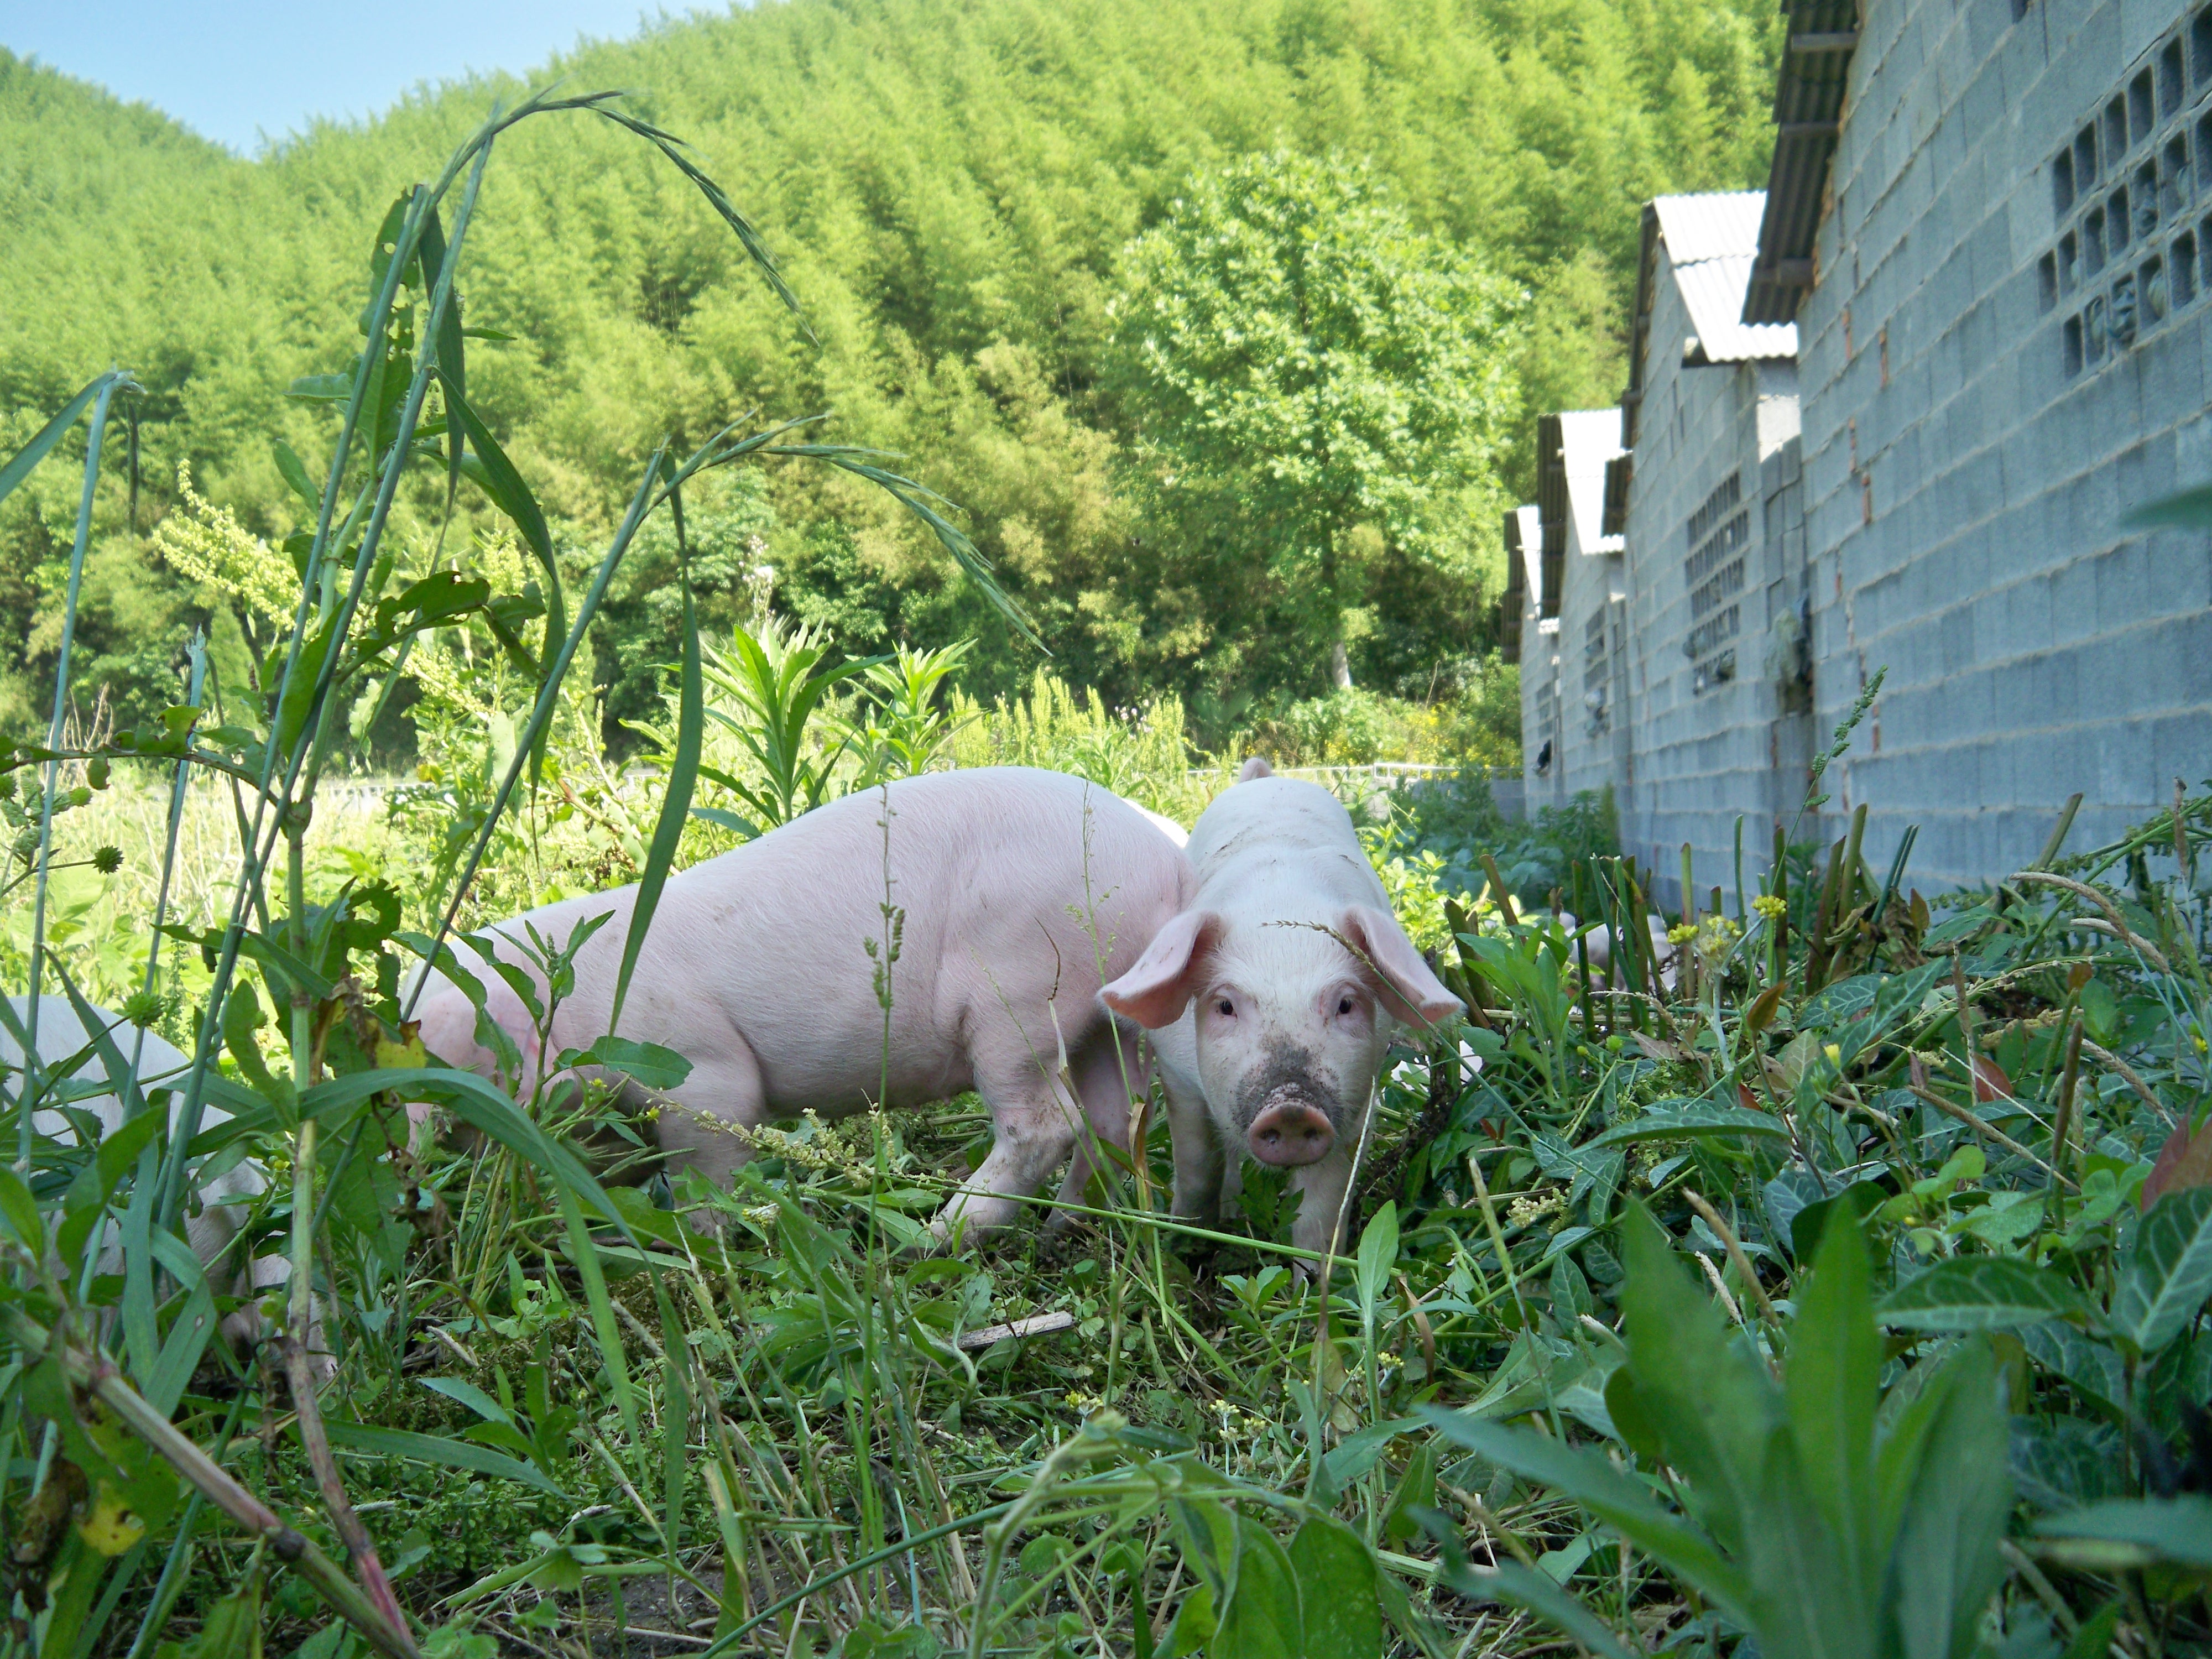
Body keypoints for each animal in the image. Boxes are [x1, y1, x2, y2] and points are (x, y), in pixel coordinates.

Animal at [398, 765, 1194, 1239]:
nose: (410, 1176)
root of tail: (1168, 853)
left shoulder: (700, 1064)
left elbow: (713, 1155)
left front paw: (707, 1240)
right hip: (1104, 1017)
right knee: (1116, 1117)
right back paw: (1067, 1225)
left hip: (1023, 997)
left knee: (1046, 1123)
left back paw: (938, 1236)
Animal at [1097, 761, 1460, 1256]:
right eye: (1226, 1005)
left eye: (1345, 1004)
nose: (1291, 1108)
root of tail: (1267, 779)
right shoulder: (1176, 1073)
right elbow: (1197, 1164)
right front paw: (1184, 1244)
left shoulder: (1358, 1100)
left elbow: (1321, 1215)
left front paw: (1312, 1275)